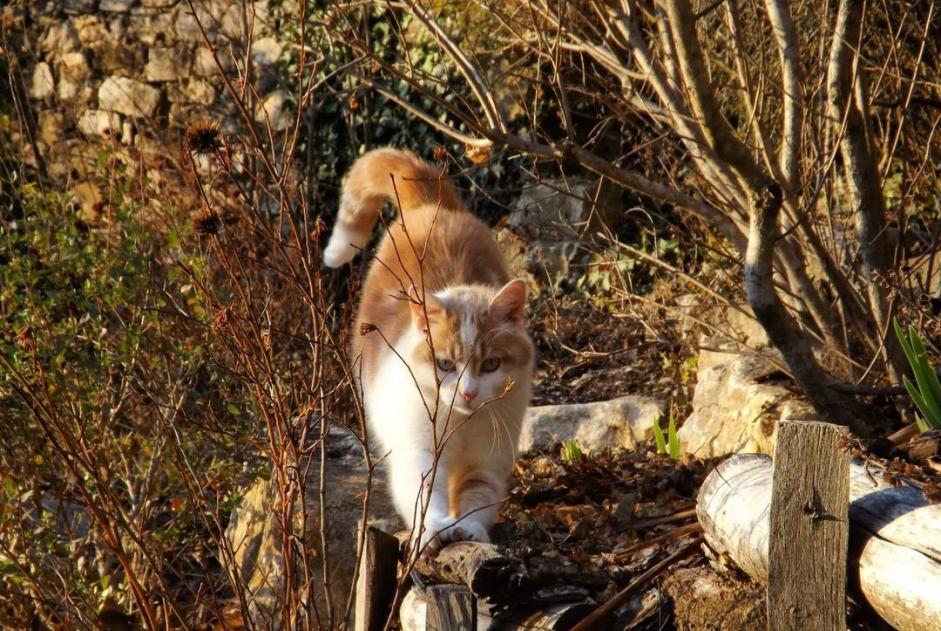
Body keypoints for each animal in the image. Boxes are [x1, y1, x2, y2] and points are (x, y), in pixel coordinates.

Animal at [324, 148, 532, 552]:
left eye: (491, 364)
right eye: (445, 363)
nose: (467, 393)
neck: (461, 423)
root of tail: (430, 206)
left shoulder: (486, 465)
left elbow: (476, 499)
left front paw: (469, 529)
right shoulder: (417, 455)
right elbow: (424, 497)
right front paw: (435, 528)